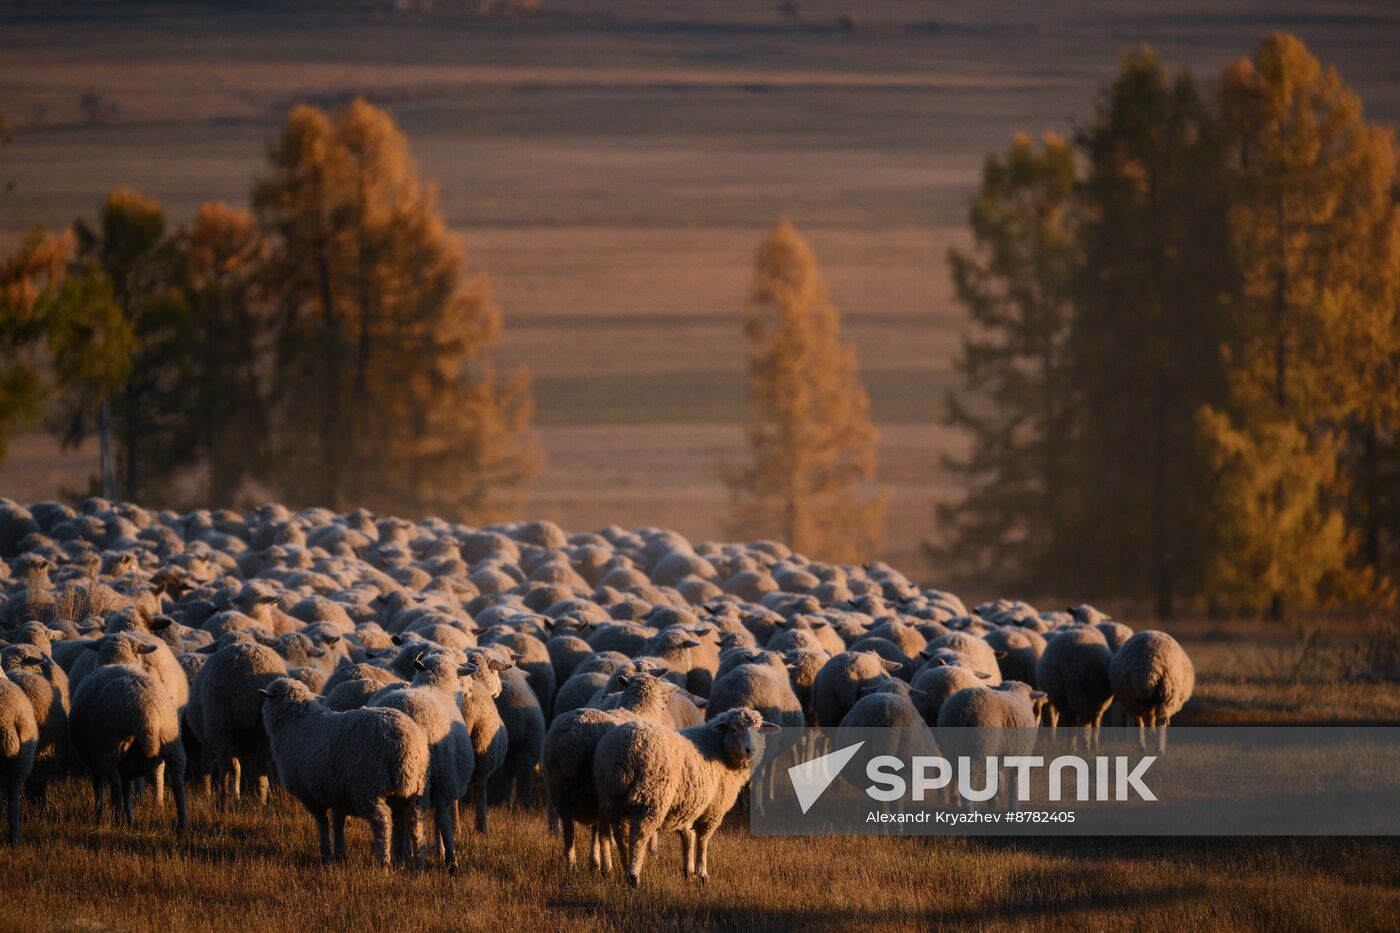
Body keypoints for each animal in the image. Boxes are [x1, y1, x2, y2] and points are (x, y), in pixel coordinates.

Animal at [68, 633, 187, 829]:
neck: (118, 660)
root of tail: (145, 708)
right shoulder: (129, 762)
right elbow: (128, 789)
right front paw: (130, 816)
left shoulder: (93, 757)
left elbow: (99, 788)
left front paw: (100, 816)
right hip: (172, 741)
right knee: (177, 782)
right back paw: (182, 824)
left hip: (107, 750)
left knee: (115, 787)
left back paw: (117, 821)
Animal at [259, 675, 425, 862]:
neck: (294, 721)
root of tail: (404, 743)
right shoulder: (337, 793)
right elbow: (338, 823)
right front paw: (339, 854)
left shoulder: (309, 795)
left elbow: (322, 822)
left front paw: (325, 853)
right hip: (414, 790)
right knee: (415, 824)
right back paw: (414, 860)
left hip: (368, 787)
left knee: (381, 821)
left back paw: (383, 859)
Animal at [593, 708, 784, 885]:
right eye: (734, 729)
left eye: (758, 730)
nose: (750, 750)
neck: (718, 747)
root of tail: (621, 752)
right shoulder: (713, 809)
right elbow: (702, 840)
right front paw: (702, 873)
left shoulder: (688, 805)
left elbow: (687, 836)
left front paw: (688, 870)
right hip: (651, 799)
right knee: (639, 836)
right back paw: (634, 875)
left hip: (612, 800)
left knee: (621, 836)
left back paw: (625, 868)